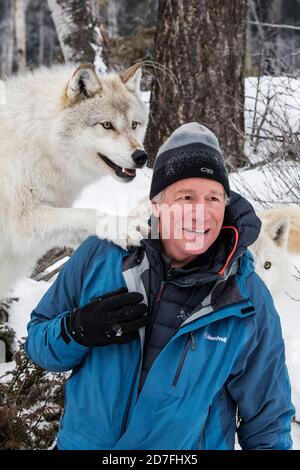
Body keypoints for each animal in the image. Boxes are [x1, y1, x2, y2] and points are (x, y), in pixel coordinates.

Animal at [0, 62, 149, 300]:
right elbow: (87, 213)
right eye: (107, 125)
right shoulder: (23, 220)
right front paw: (121, 226)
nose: (141, 156)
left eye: (134, 125)